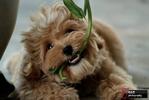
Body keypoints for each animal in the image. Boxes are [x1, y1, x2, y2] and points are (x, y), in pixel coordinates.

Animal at [3, 2, 136, 99]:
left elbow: (113, 76)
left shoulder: (104, 65)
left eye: (69, 31)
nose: (67, 49)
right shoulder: (26, 83)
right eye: (49, 46)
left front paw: (121, 91)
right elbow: (41, 87)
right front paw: (64, 94)